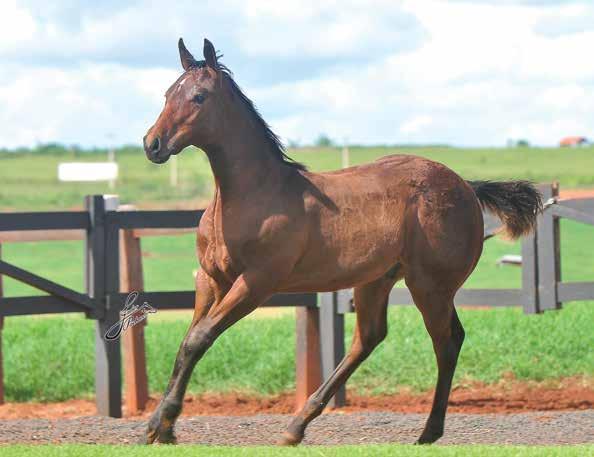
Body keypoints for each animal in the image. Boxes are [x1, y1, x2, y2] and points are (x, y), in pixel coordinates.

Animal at [141, 37, 540, 444]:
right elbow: (188, 342)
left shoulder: (257, 282)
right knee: (369, 337)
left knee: (447, 341)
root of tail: (467, 187)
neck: (250, 195)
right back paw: (296, 426)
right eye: (168, 93)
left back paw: (428, 432)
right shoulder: (211, 280)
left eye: (199, 97)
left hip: (430, 285)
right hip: (376, 280)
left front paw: (162, 424)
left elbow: (199, 338)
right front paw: (161, 427)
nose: (152, 144)